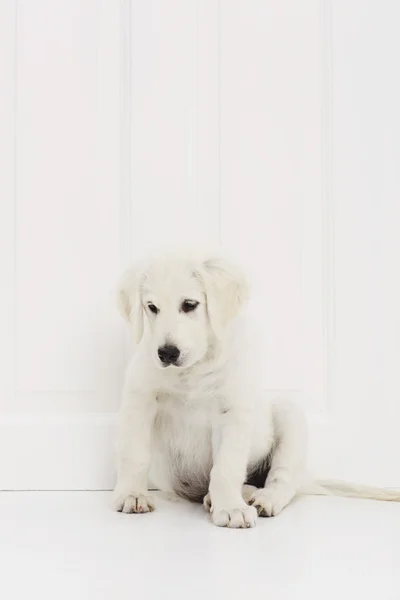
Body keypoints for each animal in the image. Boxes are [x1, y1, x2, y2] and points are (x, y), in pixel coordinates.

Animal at [112, 251, 400, 528]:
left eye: (189, 305)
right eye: (152, 307)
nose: (167, 353)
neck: (191, 371)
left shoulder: (232, 411)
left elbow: (226, 468)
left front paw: (231, 508)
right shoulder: (139, 400)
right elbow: (134, 455)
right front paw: (131, 494)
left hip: (289, 415)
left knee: (283, 480)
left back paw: (260, 498)